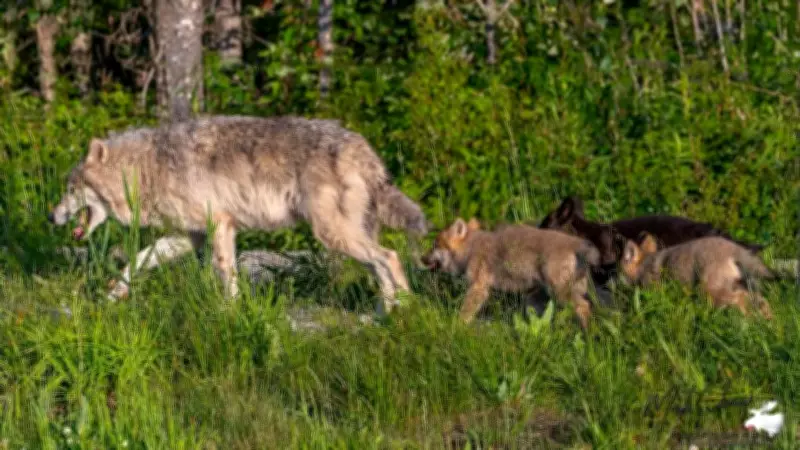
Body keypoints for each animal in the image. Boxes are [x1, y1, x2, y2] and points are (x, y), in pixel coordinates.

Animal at [48, 115, 428, 314]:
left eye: (70, 189)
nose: (51, 217)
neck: (146, 168)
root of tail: (363, 148)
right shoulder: (187, 237)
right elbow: (137, 261)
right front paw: (112, 295)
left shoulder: (220, 226)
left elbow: (224, 272)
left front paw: (230, 311)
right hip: (347, 237)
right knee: (381, 267)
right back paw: (386, 313)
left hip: (333, 234)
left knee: (390, 258)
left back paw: (405, 309)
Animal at [421, 218, 601, 329]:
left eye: (435, 245)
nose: (422, 258)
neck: (471, 248)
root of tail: (576, 243)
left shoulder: (478, 289)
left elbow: (463, 315)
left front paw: (456, 327)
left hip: (560, 294)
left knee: (584, 307)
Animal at [619, 233, 775, 319]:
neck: (643, 266)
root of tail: (735, 249)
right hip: (744, 288)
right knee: (762, 302)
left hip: (709, 292)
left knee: (741, 301)